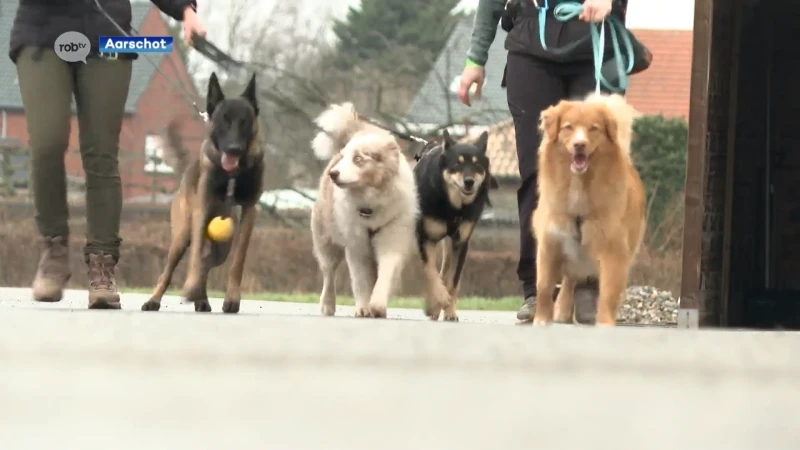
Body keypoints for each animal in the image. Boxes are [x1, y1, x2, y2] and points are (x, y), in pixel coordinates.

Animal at [142, 73, 264, 312]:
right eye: (224, 119)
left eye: (244, 121)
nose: (234, 149)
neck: (232, 174)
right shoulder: (202, 210)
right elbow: (195, 258)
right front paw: (191, 287)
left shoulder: (248, 212)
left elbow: (238, 261)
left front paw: (232, 298)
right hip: (182, 236)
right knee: (170, 270)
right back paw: (157, 299)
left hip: (222, 246)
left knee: (209, 262)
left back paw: (202, 299)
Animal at [310, 103, 418, 318]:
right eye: (344, 158)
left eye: (358, 159)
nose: (334, 173)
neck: (370, 204)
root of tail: (359, 128)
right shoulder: (356, 246)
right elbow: (360, 281)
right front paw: (363, 307)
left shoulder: (392, 240)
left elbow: (385, 275)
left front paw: (377, 305)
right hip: (326, 238)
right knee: (329, 272)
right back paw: (327, 304)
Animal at [416, 128, 496, 322]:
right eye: (457, 164)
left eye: (477, 165)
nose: (469, 181)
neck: (453, 206)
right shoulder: (426, 238)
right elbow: (430, 271)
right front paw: (439, 299)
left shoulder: (461, 242)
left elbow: (453, 280)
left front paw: (450, 310)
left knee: (446, 271)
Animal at [532, 94, 648, 326]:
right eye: (568, 127)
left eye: (594, 128)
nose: (580, 144)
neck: (579, 184)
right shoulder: (550, 242)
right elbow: (544, 286)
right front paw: (541, 319)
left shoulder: (613, 250)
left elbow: (608, 292)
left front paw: (604, 323)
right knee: (568, 279)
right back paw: (562, 310)